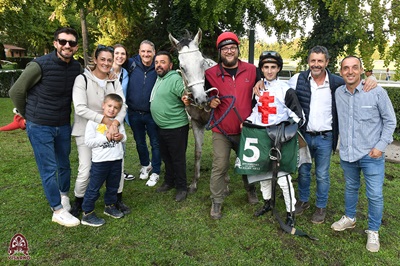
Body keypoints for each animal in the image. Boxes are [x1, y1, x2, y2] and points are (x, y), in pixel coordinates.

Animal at [168, 28, 216, 192]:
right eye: (182, 67)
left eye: (202, 63)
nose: (201, 98)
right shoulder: (196, 123)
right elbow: (197, 152)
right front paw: (194, 183)